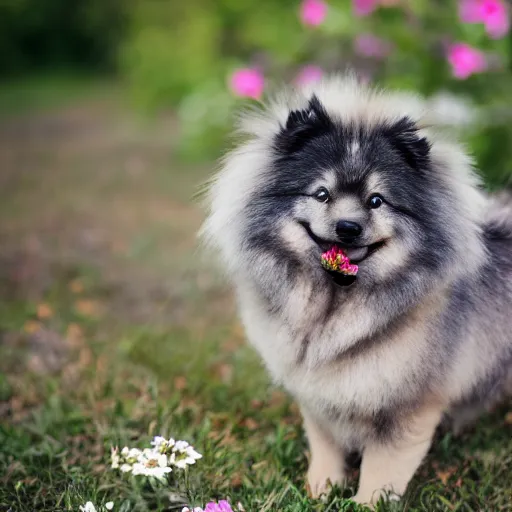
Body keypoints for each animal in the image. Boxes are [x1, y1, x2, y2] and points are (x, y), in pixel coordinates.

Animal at [200, 74, 512, 506]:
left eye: (377, 201)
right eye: (321, 194)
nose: (348, 227)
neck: (333, 309)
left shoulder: (406, 408)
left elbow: (382, 472)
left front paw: (365, 504)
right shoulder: (321, 397)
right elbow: (325, 449)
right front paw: (320, 490)